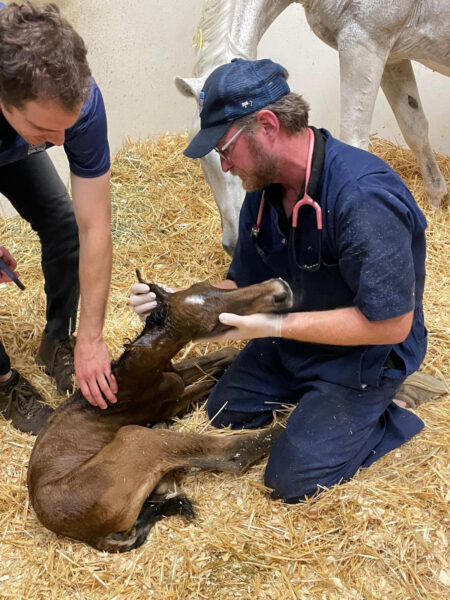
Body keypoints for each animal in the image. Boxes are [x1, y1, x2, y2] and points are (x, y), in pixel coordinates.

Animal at [176, 0, 450, 254]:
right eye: (203, 159)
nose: (233, 244)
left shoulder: (364, 44)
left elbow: (354, 139)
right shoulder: (394, 57)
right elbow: (414, 127)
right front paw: (435, 201)